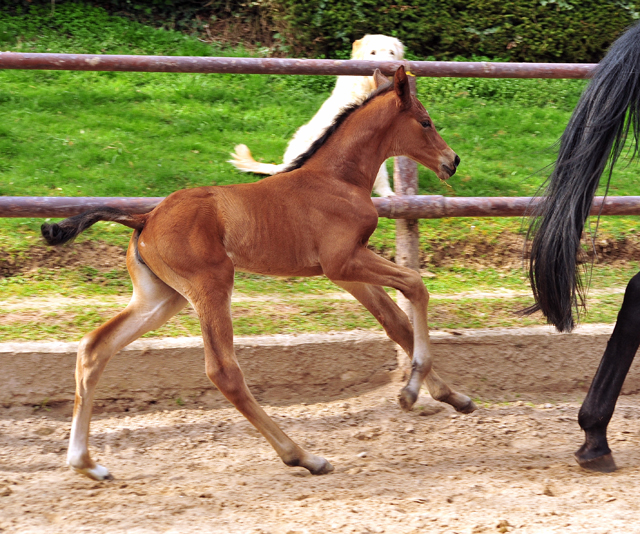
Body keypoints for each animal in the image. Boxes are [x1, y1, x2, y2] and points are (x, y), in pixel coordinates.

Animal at [42, 67, 476, 482]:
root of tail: (144, 217)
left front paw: (452, 397)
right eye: (425, 121)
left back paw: (87, 464)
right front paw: (411, 392)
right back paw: (304, 457)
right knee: (223, 370)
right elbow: (416, 287)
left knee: (94, 347)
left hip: (162, 297)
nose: (452, 160)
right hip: (211, 285)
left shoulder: (344, 272)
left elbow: (395, 321)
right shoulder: (344, 260)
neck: (337, 179)